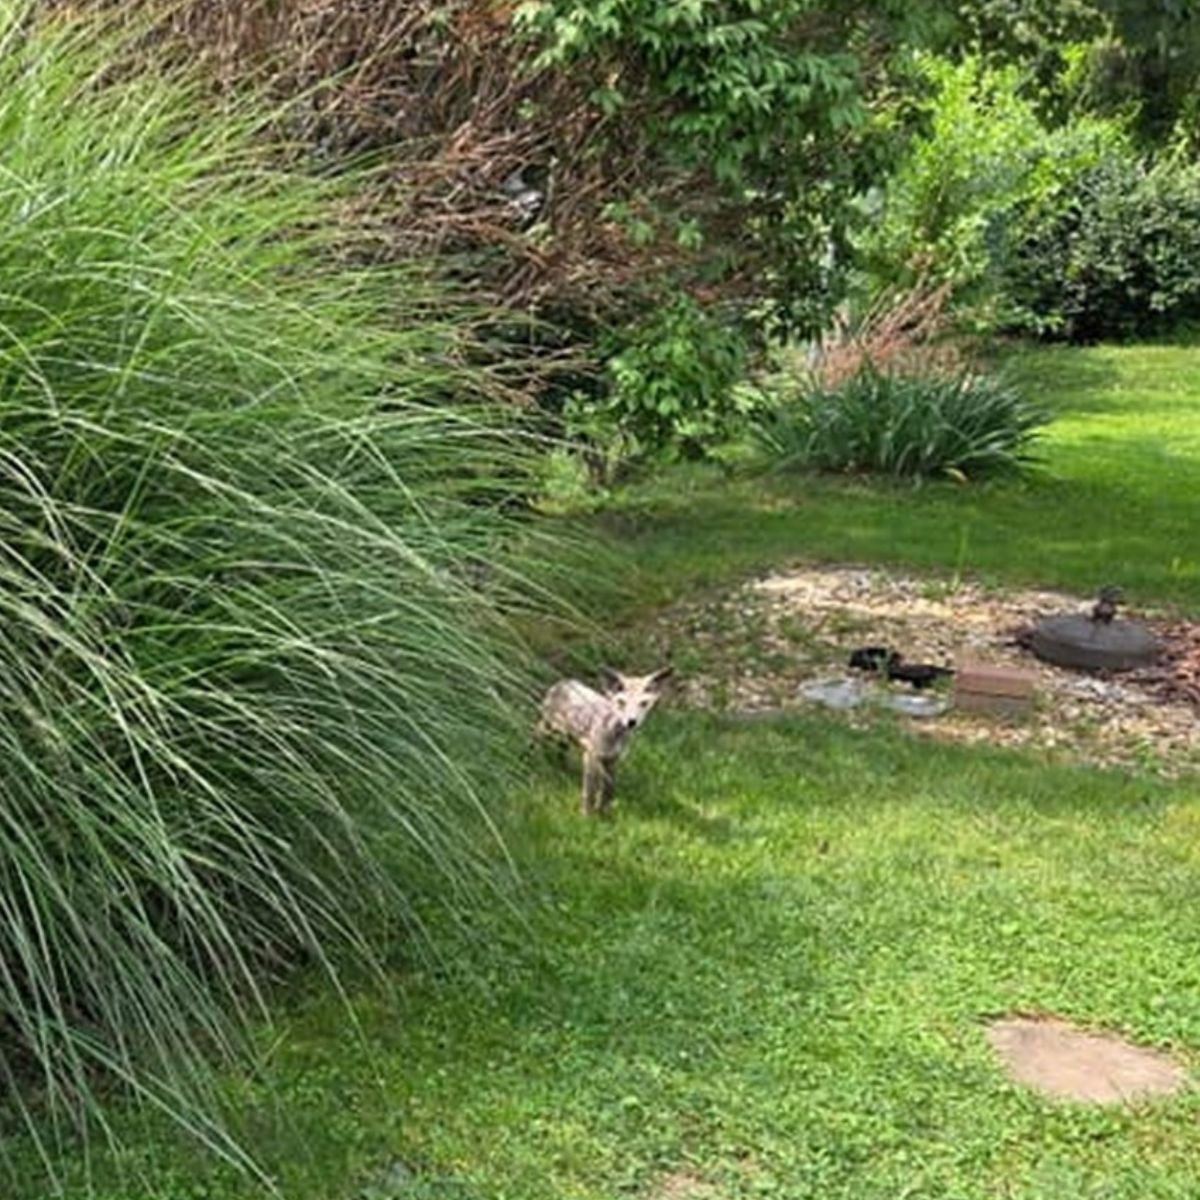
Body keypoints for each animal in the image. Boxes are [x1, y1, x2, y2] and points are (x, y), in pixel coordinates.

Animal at [537, 666, 673, 816]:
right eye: (621, 702)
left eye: (643, 703)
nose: (631, 722)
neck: (614, 736)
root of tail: (563, 682)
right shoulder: (591, 757)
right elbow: (589, 792)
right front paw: (586, 815)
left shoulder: (612, 759)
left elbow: (607, 791)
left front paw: (604, 813)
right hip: (548, 729)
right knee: (535, 736)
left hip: (566, 737)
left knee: (561, 752)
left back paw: (561, 768)